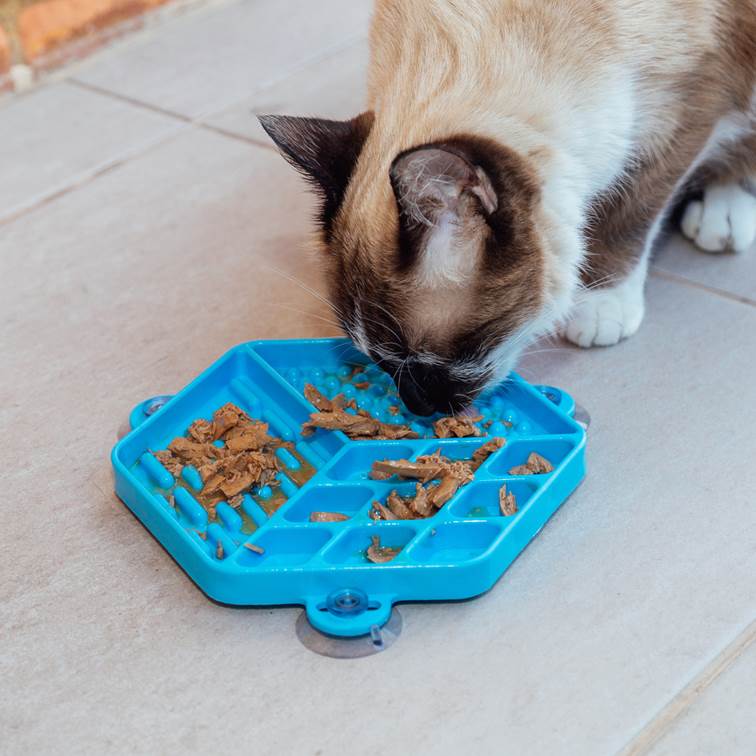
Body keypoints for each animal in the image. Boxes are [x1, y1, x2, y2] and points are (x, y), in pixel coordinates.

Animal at [258, 0, 752, 416]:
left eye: (426, 361)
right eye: (377, 361)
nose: (418, 407)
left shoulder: (685, 113)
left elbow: (628, 215)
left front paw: (602, 303)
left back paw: (724, 211)